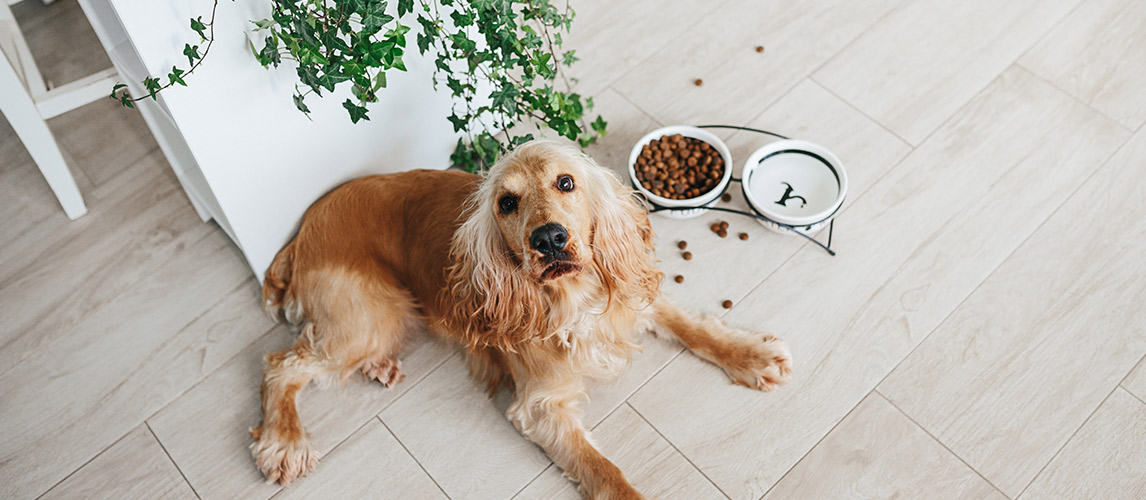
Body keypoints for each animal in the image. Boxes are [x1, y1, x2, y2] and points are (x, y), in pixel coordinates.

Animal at [249, 139, 788, 495]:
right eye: (507, 203)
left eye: (566, 182)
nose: (548, 238)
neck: (574, 301)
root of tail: (301, 233)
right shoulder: (540, 406)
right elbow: (603, 470)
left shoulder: (629, 294)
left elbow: (694, 329)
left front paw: (751, 355)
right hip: (368, 316)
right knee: (281, 365)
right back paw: (285, 443)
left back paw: (379, 367)